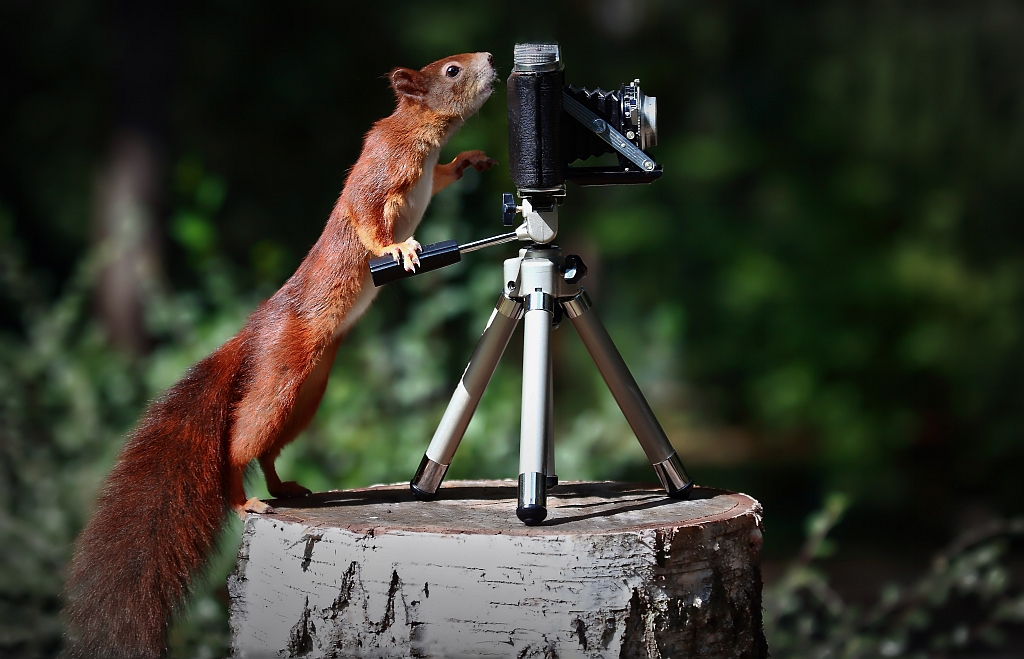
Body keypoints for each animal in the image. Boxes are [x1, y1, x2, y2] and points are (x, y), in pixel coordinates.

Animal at [64, 52, 495, 659]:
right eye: (452, 70)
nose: (490, 60)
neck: (421, 131)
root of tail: (252, 333)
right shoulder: (383, 166)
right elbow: (367, 217)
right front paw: (398, 247)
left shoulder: (423, 172)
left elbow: (442, 177)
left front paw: (469, 160)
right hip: (282, 372)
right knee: (235, 445)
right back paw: (245, 502)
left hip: (308, 391)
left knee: (267, 449)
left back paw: (283, 487)